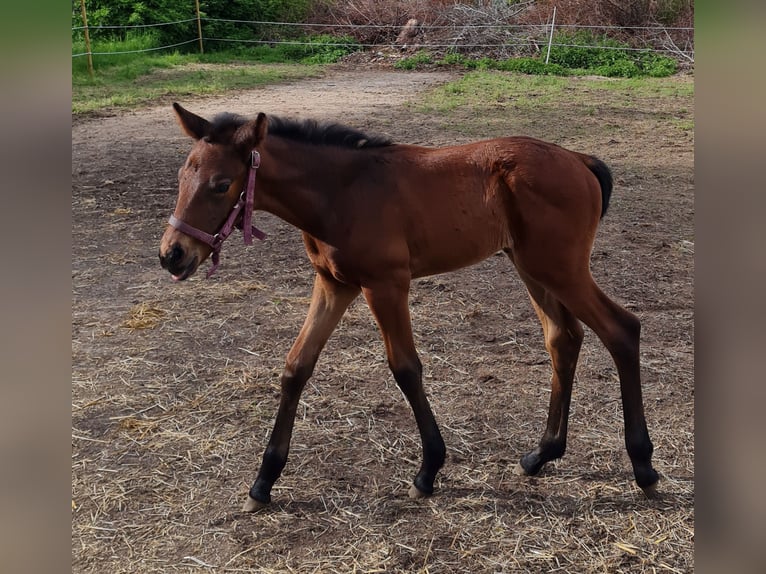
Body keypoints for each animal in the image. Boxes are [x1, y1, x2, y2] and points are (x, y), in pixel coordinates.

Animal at [158, 102, 660, 512]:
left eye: (222, 184)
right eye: (181, 177)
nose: (172, 255)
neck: (342, 191)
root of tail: (579, 159)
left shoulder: (385, 285)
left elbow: (405, 367)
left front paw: (428, 470)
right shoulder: (334, 285)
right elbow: (296, 367)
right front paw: (263, 482)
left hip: (560, 269)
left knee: (621, 329)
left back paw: (644, 467)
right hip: (532, 268)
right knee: (563, 338)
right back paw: (541, 454)